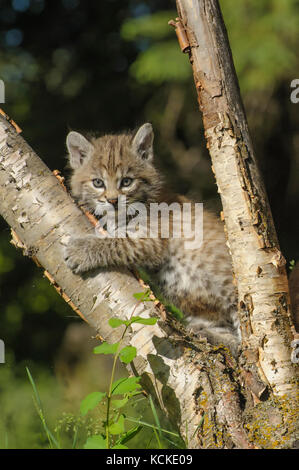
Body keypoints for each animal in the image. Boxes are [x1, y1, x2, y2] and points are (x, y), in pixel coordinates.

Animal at [63, 123, 241, 354]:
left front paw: (79, 251)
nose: (113, 201)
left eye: (127, 182)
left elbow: (117, 242)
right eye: (98, 183)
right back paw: (208, 335)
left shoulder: (151, 240)